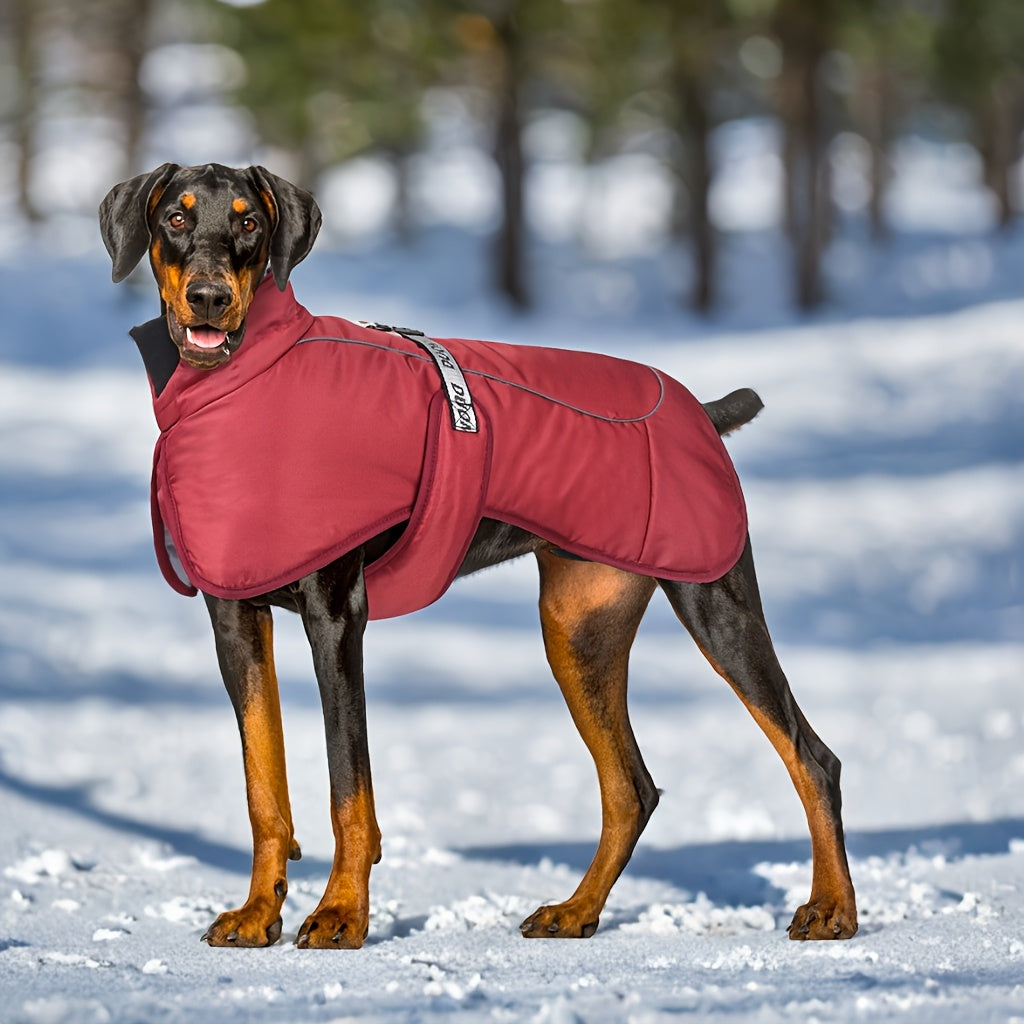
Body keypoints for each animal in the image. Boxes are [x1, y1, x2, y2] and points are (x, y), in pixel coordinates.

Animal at [101, 161, 856, 950]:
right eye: (177, 217)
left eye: (249, 221)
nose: (210, 297)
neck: (242, 381)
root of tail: (703, 412)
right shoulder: (235, 620)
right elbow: (262, 785)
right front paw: (256, 914)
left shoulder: (335, 618)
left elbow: (348, 788)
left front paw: (341, 914)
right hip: (577, 629)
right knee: (631, 787)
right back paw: (576, 910)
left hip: (714, 599)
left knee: (813, 758)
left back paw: (832, 907)